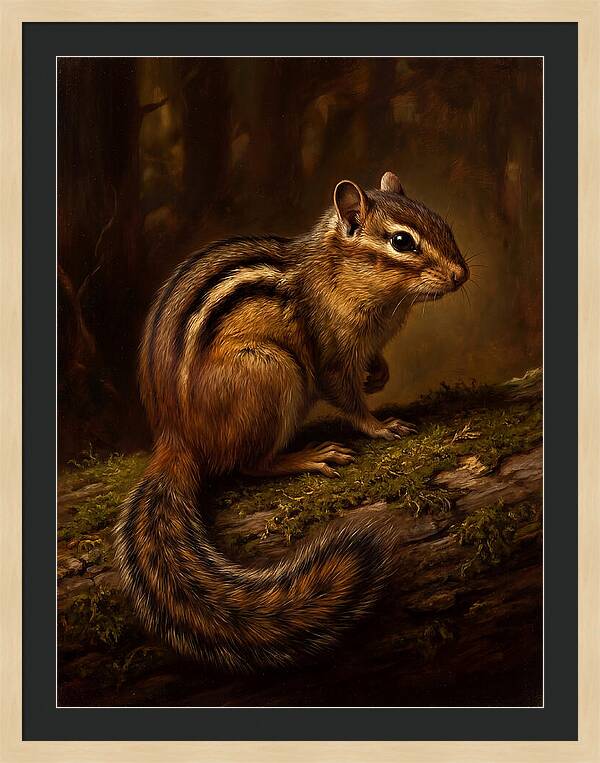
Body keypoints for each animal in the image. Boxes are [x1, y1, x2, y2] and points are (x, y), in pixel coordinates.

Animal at [114, 171, 469, 671]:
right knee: (247, 464)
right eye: (402, 242)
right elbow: (346, 397)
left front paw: (379, 375)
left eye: (443, 224)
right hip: (273, 371)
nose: (462, 274)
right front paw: (380, 426)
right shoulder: (330, 353)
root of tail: (175, 437)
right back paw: (308, 456)